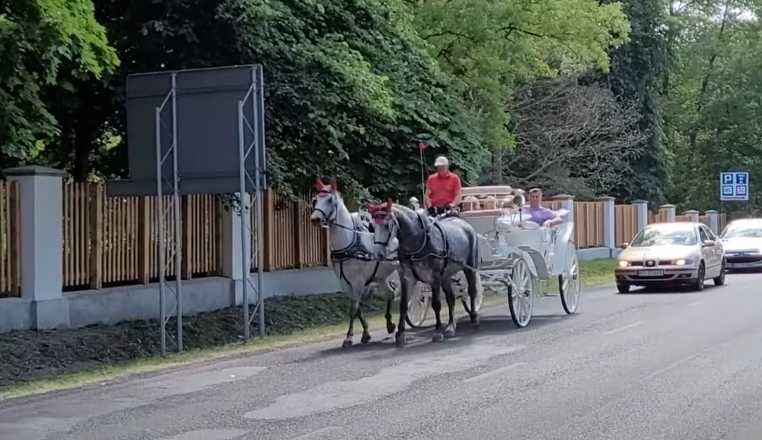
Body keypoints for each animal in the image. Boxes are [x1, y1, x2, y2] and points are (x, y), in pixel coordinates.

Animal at [308, 178, 398, 348]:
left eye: (330, 200)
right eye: (315, 200)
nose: (315, 219)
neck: (349, 243)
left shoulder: (358, 282)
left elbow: (353, 309)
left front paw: (349, 337)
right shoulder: (346, 283)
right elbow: (357, 309)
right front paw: (365, 334)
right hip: (382, 277)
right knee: (391, 293)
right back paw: (390, 324)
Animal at [368, 201, 480, 346]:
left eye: (387, 225)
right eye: (372, 227)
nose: (378, 253)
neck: (417, 242)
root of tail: (463, 223)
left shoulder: (435, 277)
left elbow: (436, 304)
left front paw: (437, 332)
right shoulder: (407, 278)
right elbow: (403, 305)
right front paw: (400, 335)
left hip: (470, 267)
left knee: (472, 291)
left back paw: (474, 317)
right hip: (446, 274)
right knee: (450, 298)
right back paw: (451, 326)